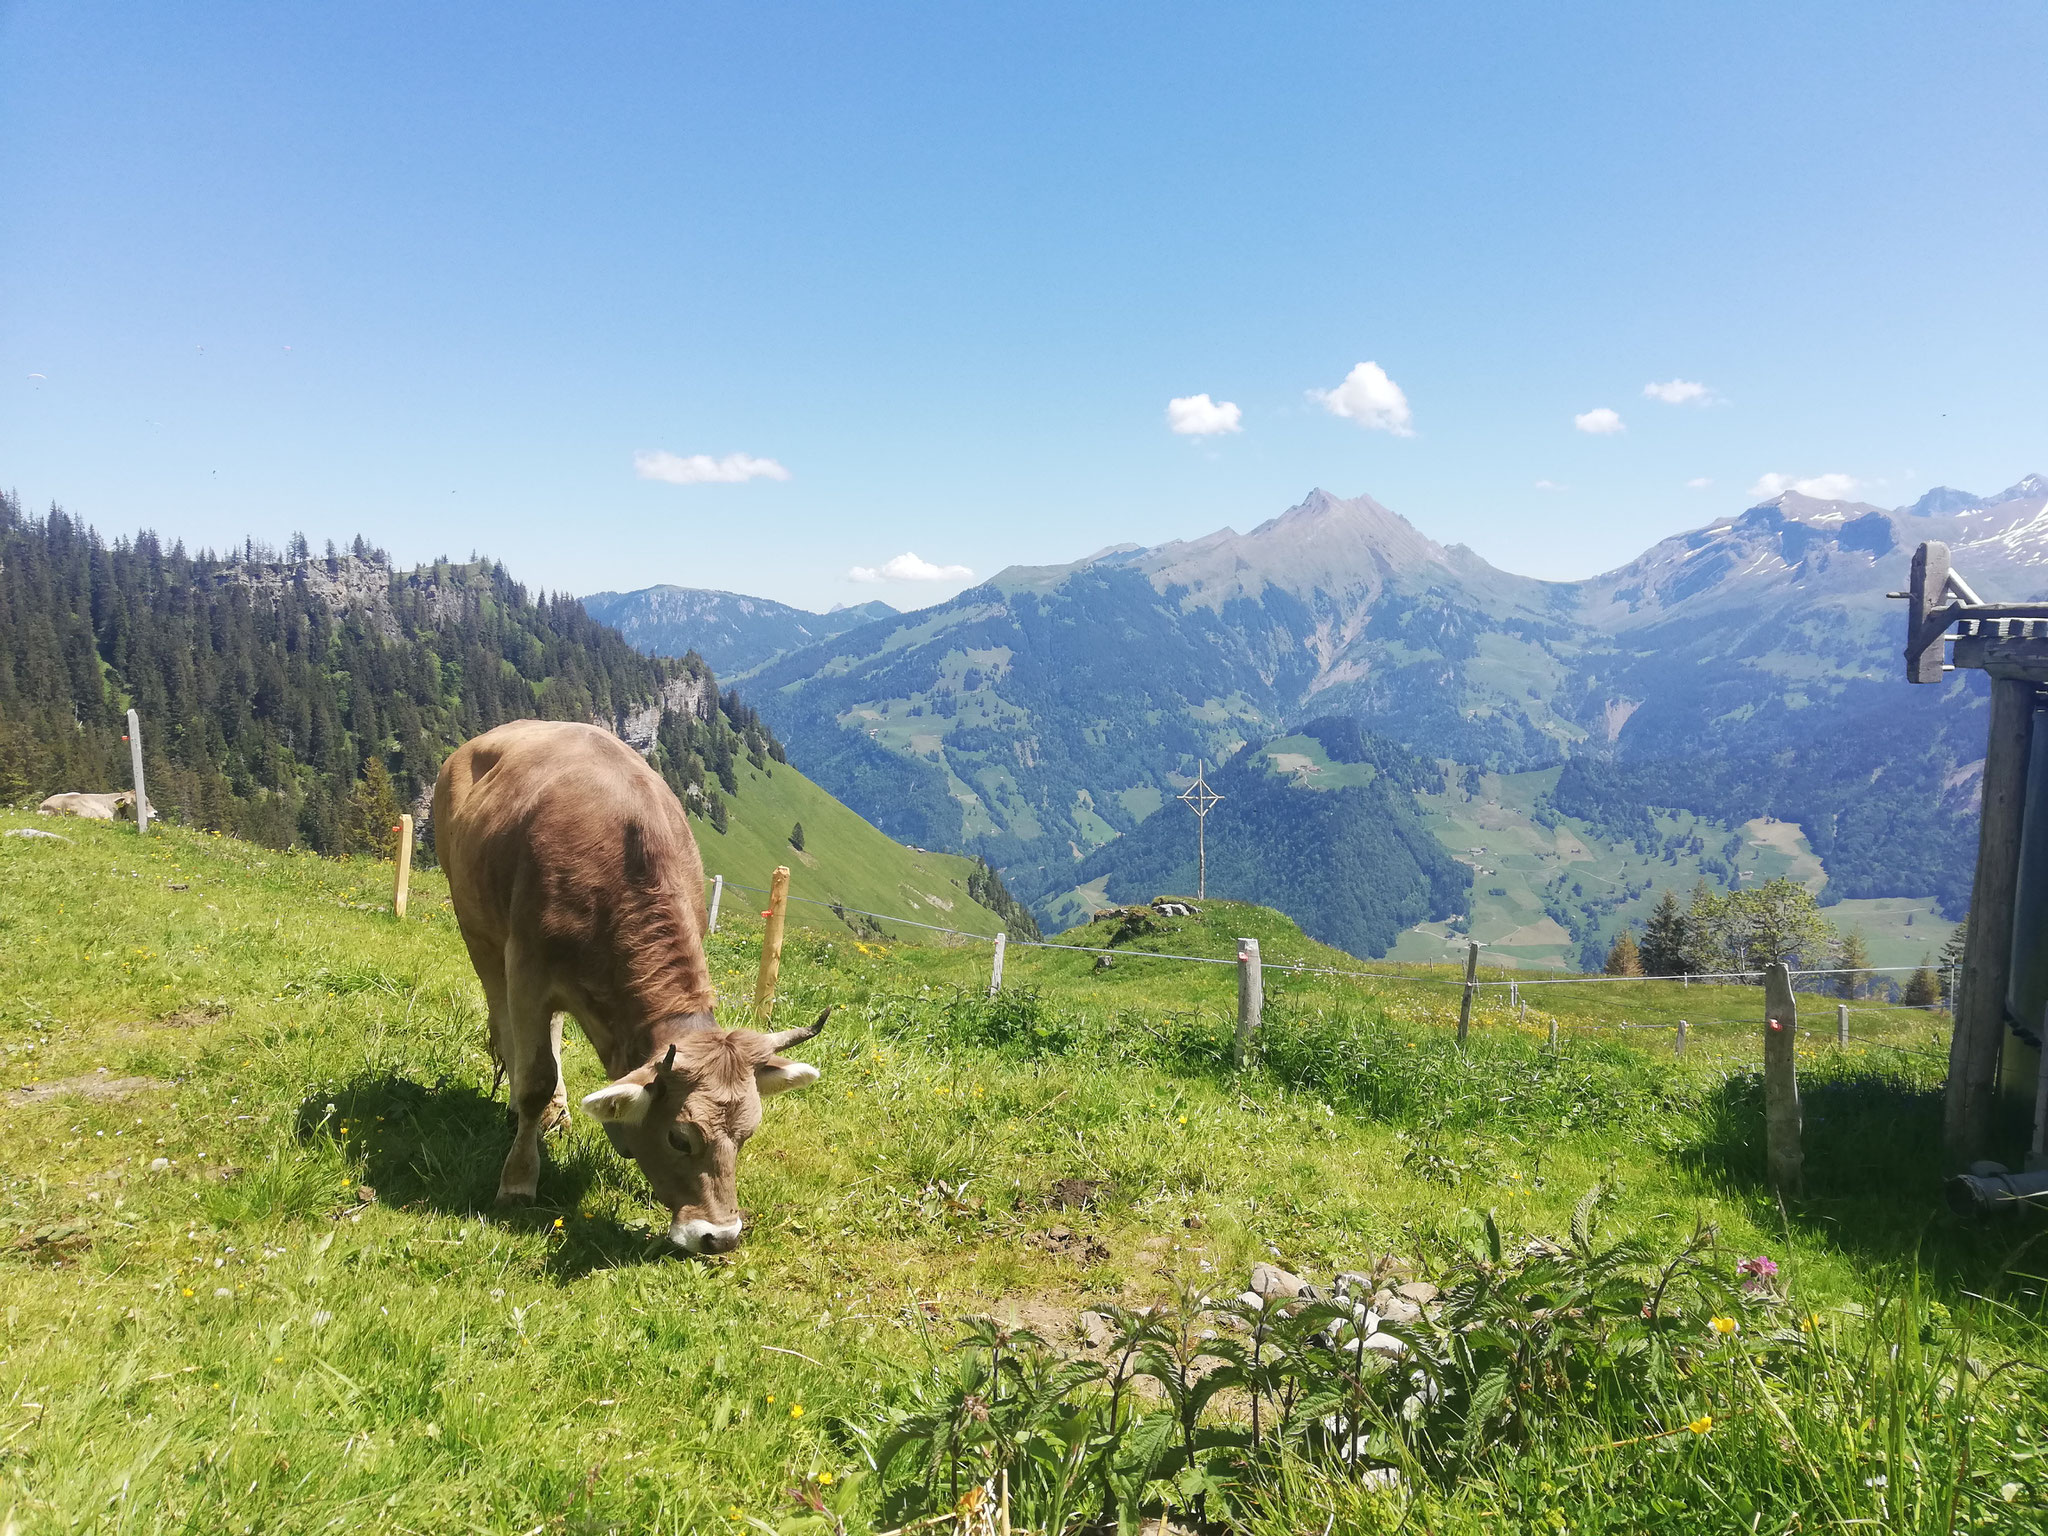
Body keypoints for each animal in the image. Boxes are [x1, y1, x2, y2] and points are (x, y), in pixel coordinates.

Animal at [434, 720, 823, 1253]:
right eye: (679, 1137)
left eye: (747, 1137)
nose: (719, 1236)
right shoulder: (527, 969)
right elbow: (534, 1078)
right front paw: (517, 1181)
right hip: (479, 932)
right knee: (507, 1025)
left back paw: (558, 1115)